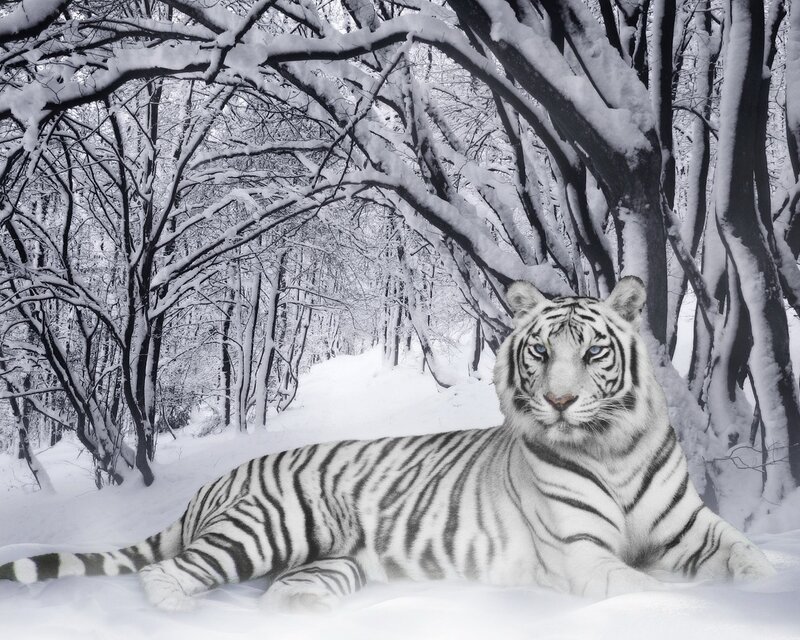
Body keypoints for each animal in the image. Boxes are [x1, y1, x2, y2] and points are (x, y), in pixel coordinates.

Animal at [0, 276, 775, 611]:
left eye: (592, 353)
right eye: (540, 353)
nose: (559, 400)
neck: (611, 448)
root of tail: (213, 485)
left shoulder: (694, 530)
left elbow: (750, 558)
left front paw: (765, 590)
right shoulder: (583, 554)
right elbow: (647, 587)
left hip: (330, 562)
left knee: (280, 591)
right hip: (268, 526)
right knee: (167, 575)